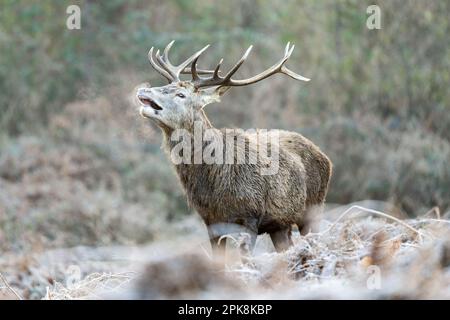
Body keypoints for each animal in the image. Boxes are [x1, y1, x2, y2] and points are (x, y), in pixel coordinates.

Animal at [135, 41, 332, 262]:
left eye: (181, 94)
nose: (144, 89)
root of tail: (325, 157)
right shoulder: (211, 221)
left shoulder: (250, 217)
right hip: (280, 224)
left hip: (315, 207)